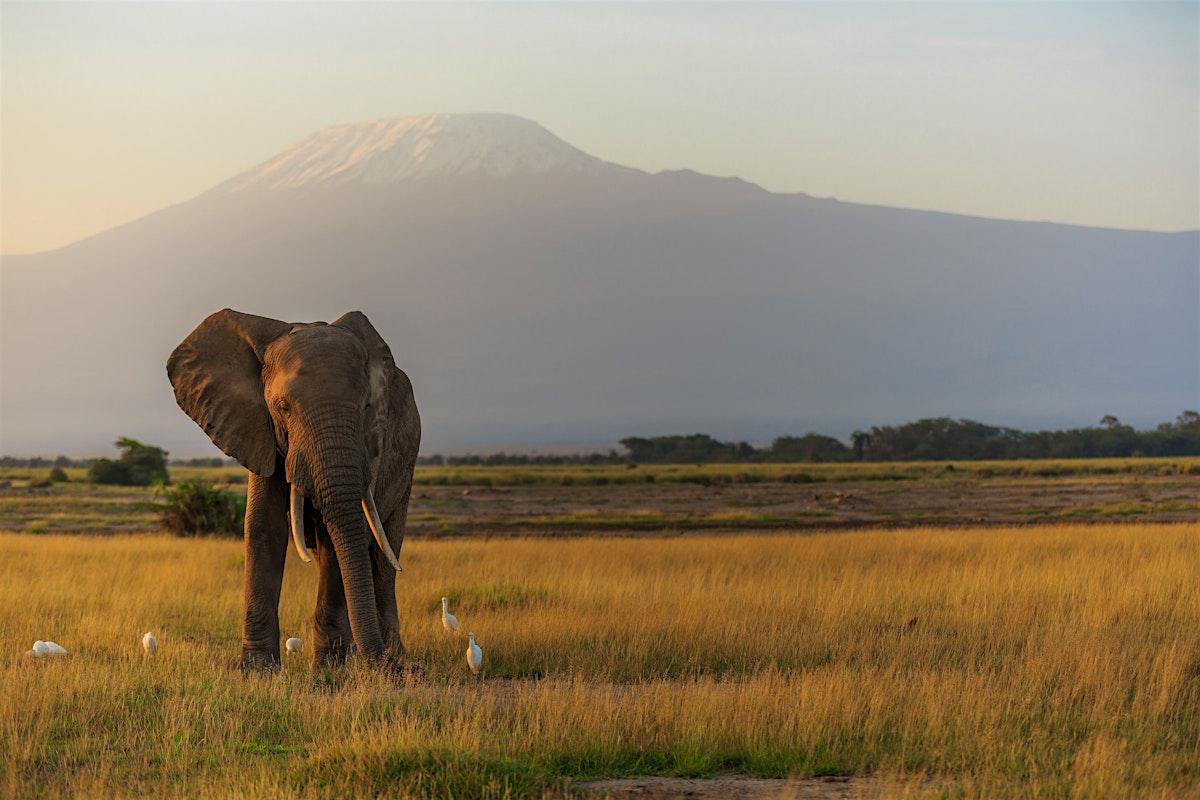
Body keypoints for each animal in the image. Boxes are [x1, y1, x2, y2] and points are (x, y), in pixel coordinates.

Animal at [166, 309, 422, 671]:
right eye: (284, 408)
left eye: (367, 407)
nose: (408, 671)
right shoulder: (257, 426)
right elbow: (263, 526)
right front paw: (257, 671)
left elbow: (340, 534)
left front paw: (328, 673)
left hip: (406, 468)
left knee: (383, 558)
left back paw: (388, 655)